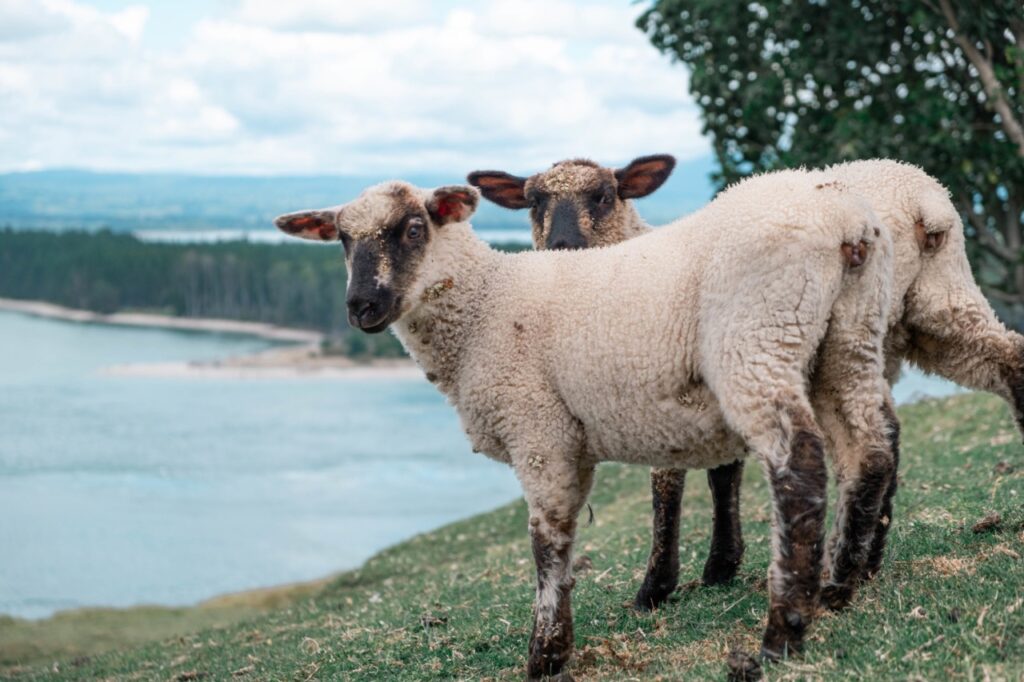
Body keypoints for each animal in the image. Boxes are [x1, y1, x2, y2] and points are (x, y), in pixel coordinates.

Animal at [273, 171, 895, 677]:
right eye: (343, 238)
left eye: (412, 229)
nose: (361, 308)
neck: (484, 306)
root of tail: (846, 222)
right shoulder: (568, 439)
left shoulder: (538, 430)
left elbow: (547, 544)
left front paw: (546, 656)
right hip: (849, 340)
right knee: (872, 448)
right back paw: (839, 587)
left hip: (759, 337)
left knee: (800, 465)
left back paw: (782, 634)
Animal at [470, 156, 1023, 615]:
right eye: (533, 200)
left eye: (604, 195)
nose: (561, 247)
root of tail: (924, 202)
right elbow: (723, 473)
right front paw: (721, 565)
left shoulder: (659, 391)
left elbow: (667, 485)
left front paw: (657, 588)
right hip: (931, 308)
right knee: (983, 374)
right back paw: (869, 559)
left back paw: (840, 572)